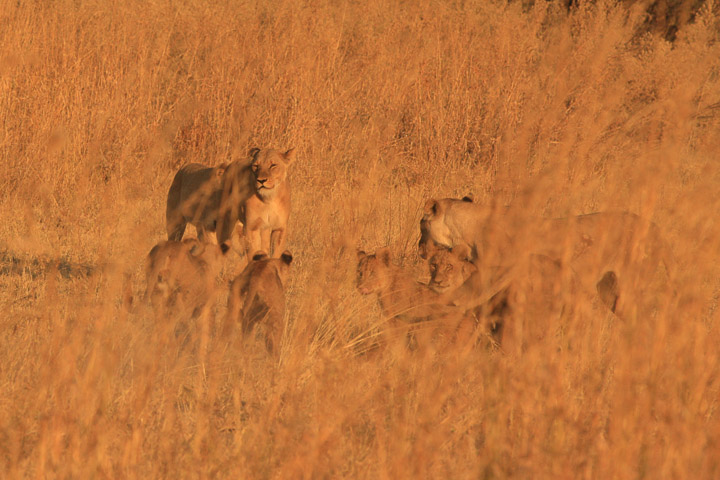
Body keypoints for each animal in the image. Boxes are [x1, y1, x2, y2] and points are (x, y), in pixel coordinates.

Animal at [166, 147, 295, 258]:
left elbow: (274, 253)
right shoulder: (250, 227)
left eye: (273, 165)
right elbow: (253, 253)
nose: (261, 180)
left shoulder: (279, 227)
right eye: (255, 166)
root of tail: (185, 166)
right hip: (177, 224)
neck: (269, 199)